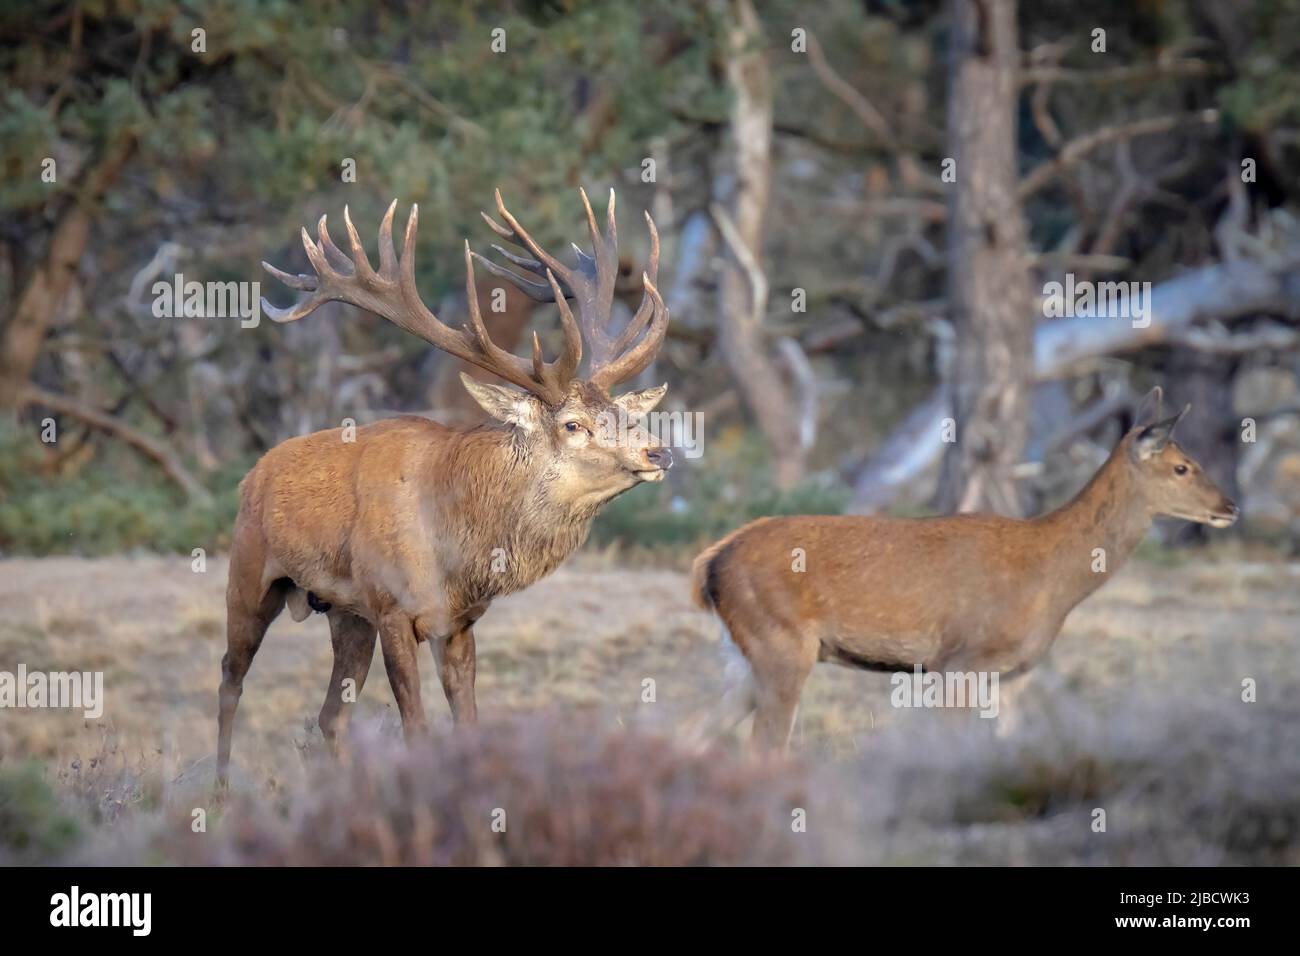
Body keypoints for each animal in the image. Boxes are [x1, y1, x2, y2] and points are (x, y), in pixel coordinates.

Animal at [217, 188, 671, 787]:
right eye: (573, 424)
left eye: (622, 412)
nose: (659, 452)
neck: (456, 547)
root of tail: (254, 473)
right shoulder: (391, 608)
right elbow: (416, 729)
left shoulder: (457, 623)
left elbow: (467, 725)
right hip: (251, 574)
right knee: (230, 677)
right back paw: (219, 791)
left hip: (344, 612)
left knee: (330, 716)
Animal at [690, 388, 1239, 753]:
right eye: (1182, 467)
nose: (1230, 506)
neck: (1053, 577)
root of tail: (712, 561)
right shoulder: (961, 660)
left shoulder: (1014, 673)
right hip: (782, 645)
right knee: (761, 752)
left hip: (744, 657)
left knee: (691, 732)